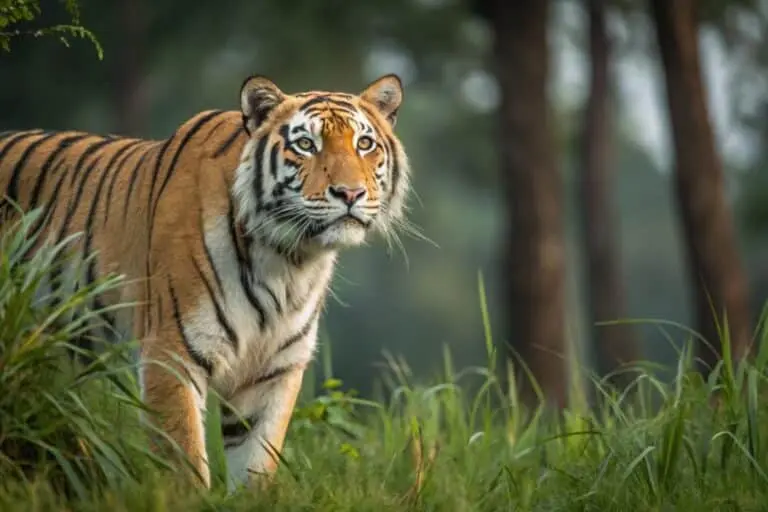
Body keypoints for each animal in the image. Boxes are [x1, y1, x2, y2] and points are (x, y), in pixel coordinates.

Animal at [0, 74, 410, 491]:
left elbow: (256, 467)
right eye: (306, 145)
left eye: (364, 144)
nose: (350, 193)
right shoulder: (172, 353)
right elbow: (183, 464)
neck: (288, 262)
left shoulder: (272, 372)